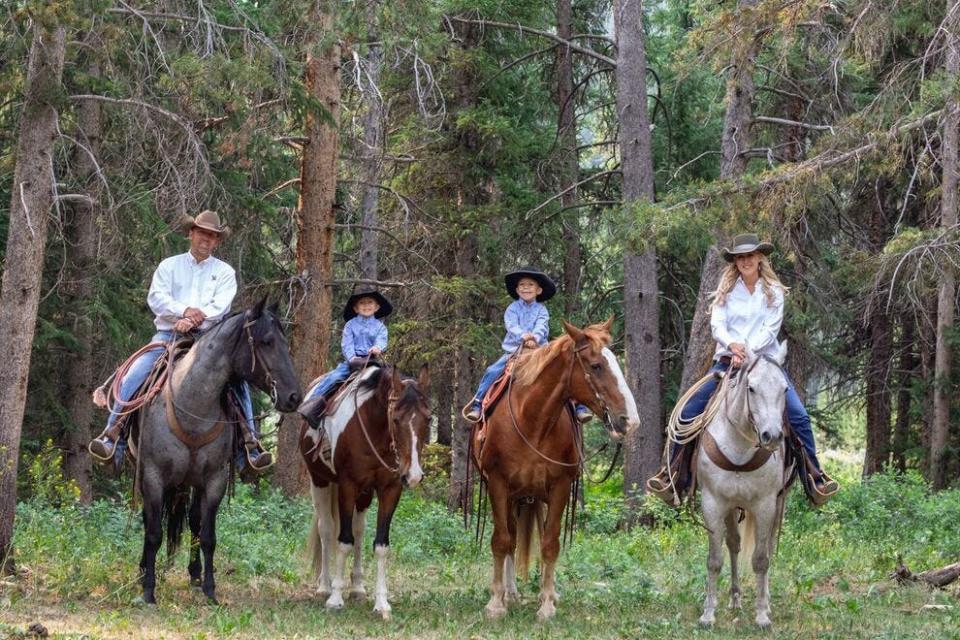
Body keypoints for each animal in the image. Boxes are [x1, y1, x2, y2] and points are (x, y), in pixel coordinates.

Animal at [136, 300, 300, 604]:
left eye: (285, 342)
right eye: (267, 341)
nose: (294, 397)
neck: (192, 407)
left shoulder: (214, 480)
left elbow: (208, 536)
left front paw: (210, 591)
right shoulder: (153, 476)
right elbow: (153, 533)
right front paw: (148, 590)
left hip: (192, 482)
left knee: (194, 522)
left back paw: (195, 575)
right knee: (149, 521)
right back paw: (142, 572)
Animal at [302, 364, 430, 620]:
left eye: (429, 419)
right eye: (396, 419)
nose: (413, 475)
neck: (374, 429)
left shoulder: (390, 489)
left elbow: (380, 546)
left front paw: (381, 603)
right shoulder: (347, 485)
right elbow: (344, 541)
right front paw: (335, 598)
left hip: (364, 494)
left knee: (359, 530)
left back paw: (358, 588)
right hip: (320, 481)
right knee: (326, 529)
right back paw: (324, 585)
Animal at [470, 318, 636, 620]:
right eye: (596, 365)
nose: (630, 420)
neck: (531, 420)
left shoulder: (560, 487)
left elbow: (550, 544)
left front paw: (547, 604)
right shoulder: (498, 485)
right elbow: (501, 541)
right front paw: (496, 603)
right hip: (512, 496)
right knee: (511, 538)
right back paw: (510, 593)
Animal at [692, 342, 792, 628]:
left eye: (784, 389)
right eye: (751, 388)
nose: (772, 436)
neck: (739, 449)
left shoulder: (765, 505)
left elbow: (761, 560)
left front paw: (761, 616)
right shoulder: (713, 504)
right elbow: (715, 560)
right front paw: (708, 614)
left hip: (776, 504)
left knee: (764, 548)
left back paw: (765, 603)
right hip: (731, 507)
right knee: (734, 545)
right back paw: (735, 599)